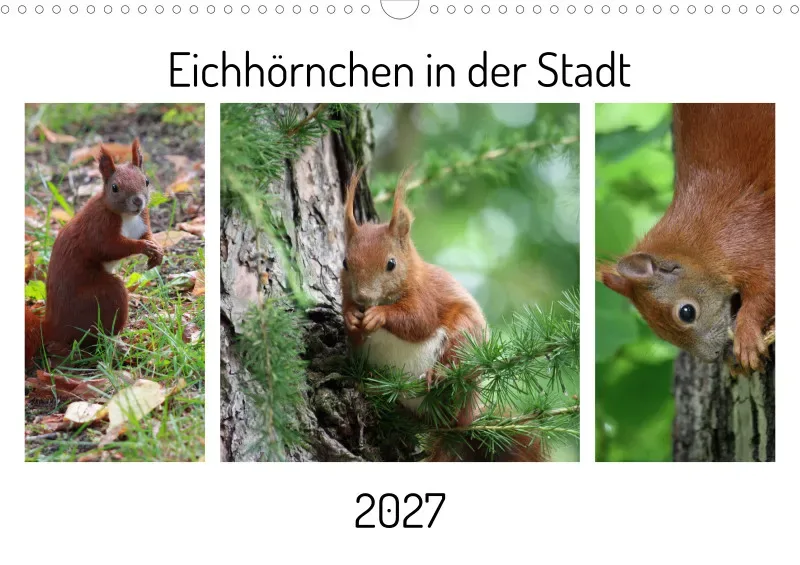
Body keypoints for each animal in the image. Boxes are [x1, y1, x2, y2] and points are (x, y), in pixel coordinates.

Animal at [25, 139, 164, 365]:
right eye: (115, 188)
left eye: (147, 181)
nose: (138, 201)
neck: (127, 216)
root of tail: (52, 328)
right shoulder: (97, 228)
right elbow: (110, 247)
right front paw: (143, 247)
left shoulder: (143, 220)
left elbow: (148, 235)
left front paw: (157, 250)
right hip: (98, 298)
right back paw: (113, 344)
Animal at [340, 169, 545, 462]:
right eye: (345, 262)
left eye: (391, 264)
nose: (364, 298)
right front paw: (350, 318)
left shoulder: (426, 296)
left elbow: (418, 320)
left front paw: (379, 315)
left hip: (464, 338)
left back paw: (437, 375)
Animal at [599, 103, 775, 374]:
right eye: (659, 334)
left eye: (687, 312)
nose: (714, 356)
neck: (700, 243)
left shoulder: (751, 237)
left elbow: (765, 288)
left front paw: (745, 337)